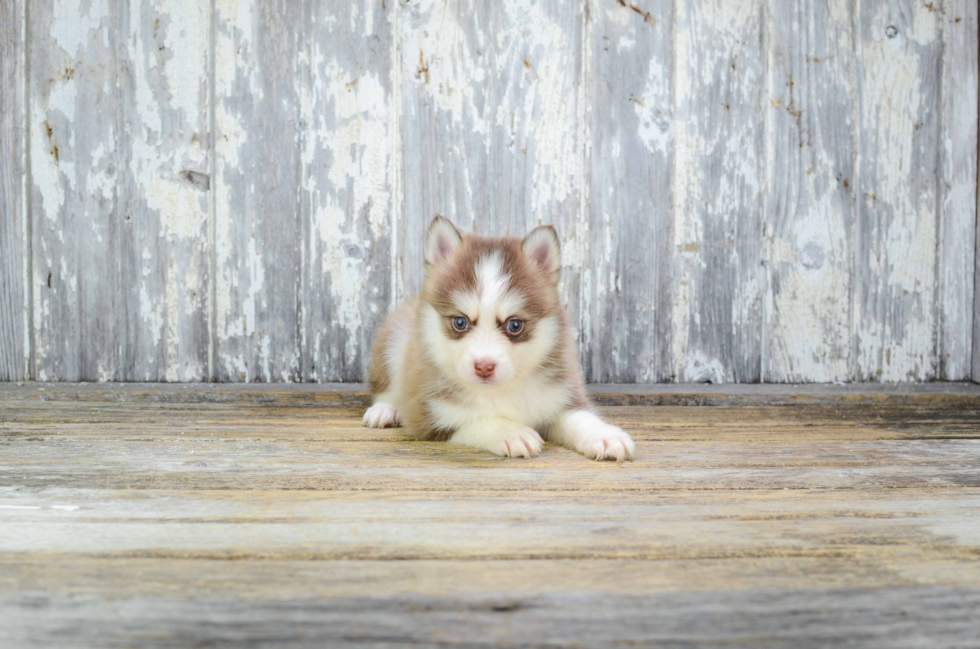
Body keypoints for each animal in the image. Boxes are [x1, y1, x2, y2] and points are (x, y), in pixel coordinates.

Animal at [362, 214, 636, 460]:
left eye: (514, 325)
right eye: (460, 322)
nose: (484, 367)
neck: (503, 389)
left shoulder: (560, 395)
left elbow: (579, 417)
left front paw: (604, 436)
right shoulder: (430, 417)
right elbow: (477, 419)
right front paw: (511, 432)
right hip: (395, 341)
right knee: (385, 388)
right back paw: (385, 410)